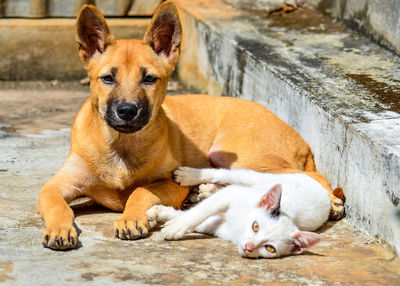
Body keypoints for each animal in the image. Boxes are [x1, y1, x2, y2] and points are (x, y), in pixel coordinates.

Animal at [147, 166, 332, 258]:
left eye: (270, 248)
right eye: (256, 226)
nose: (249, 247)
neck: (240, 226)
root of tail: (324, 190)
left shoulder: (219, 228)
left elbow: (205, 221)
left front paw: (164, 215)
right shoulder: (230, 196)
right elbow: (201, 211)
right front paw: (176, 225)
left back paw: (208, 190)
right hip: (261, 179)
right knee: (230, 175)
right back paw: (190, 175)